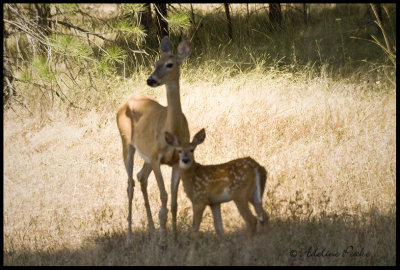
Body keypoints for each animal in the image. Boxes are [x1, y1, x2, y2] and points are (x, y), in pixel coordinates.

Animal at [116, 37, 191, 248]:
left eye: (170, 64)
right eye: (155, 62)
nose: (151, 80)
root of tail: (124, 103)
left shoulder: (177, 161)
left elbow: (174, 201)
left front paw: (175, 238)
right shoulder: (157, 158)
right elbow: (164, 196)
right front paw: (164, 242)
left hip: (146, 155)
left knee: (141, 177)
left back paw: (151, 230)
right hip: (126, 143)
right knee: (130, 183)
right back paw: (130, 237)